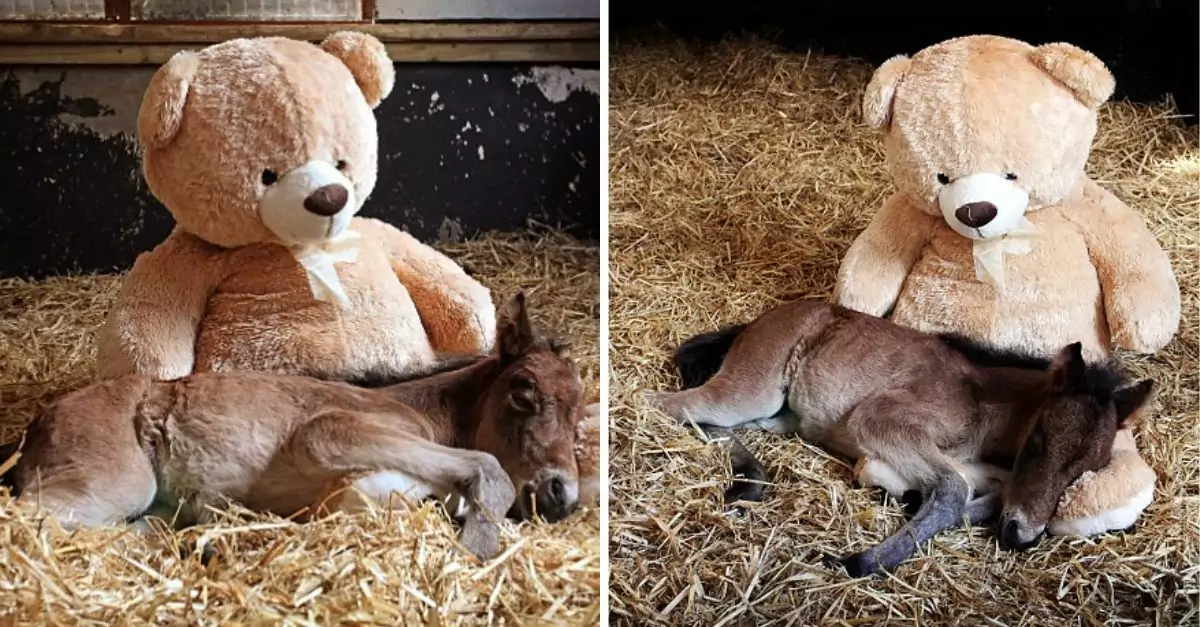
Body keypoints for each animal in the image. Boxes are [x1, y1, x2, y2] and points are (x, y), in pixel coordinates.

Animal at [0, 291, 580, 557]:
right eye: (523, 391)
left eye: (579, 416)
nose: (562, 496)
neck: (419, 409)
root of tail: (38, 422)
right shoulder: (330, 433)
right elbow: (484, 469)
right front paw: (478, 541)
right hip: (115, 483)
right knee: (32, 520)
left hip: (150, 503)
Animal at [648, 299, 1152, 576]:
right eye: (1040, 440)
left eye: (1086, 470)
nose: (1021, 536)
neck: (985, 403)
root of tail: (758, 321)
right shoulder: (883, 418)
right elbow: (952, 490)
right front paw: (856, 562)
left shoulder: (970, 465)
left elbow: (985, 490)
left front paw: (910, 501)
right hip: (752, 391)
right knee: (665, 404)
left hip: (780, 417)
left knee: (714, 425)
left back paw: (749, 480)